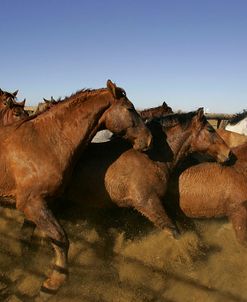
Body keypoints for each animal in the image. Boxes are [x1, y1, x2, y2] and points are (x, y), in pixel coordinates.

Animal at [0, 79, 151, 298]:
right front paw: (52, 284)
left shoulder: (42, 204)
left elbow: (30, 235)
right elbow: (61, 238)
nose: (148, 140)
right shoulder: (32, 203)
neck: (44, 142)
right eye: (130, 108)